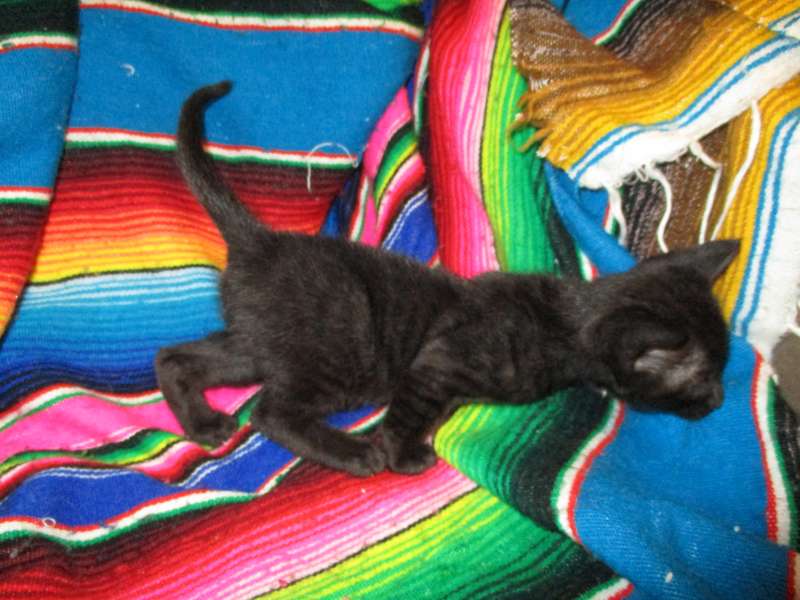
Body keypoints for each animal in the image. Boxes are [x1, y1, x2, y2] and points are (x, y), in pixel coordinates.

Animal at [156, 81, 740, 477]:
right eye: (702, 379)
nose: (718, 403)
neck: (566, 320)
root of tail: (262, 240)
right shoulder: (438, 361)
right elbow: (410, 411)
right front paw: (400, 453)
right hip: (338, 357)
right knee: (269, 411)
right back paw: (350, 451)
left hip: (262, 343)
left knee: (177, 357)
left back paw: (203, 423)